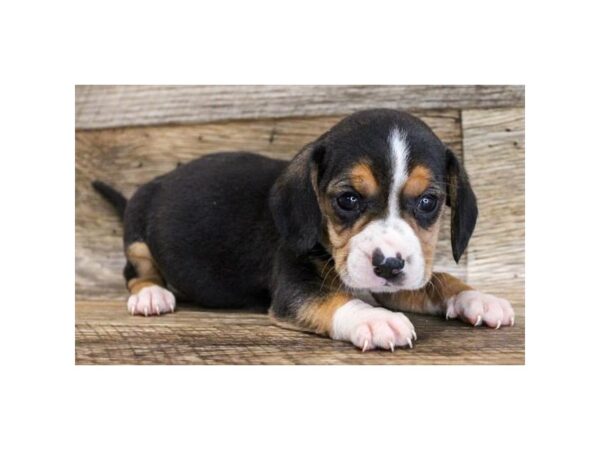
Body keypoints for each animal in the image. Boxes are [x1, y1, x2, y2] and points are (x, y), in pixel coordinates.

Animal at [93, 109, 514, 351]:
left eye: (428, 202)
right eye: (347, 199)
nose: (389, 266)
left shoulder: (397, 280)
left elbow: (439, 279)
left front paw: (477, 298)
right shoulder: (295, 288)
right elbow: (337, 300)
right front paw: (375, 319)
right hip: (137, 237)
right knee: (135, 271)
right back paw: (151, 295)